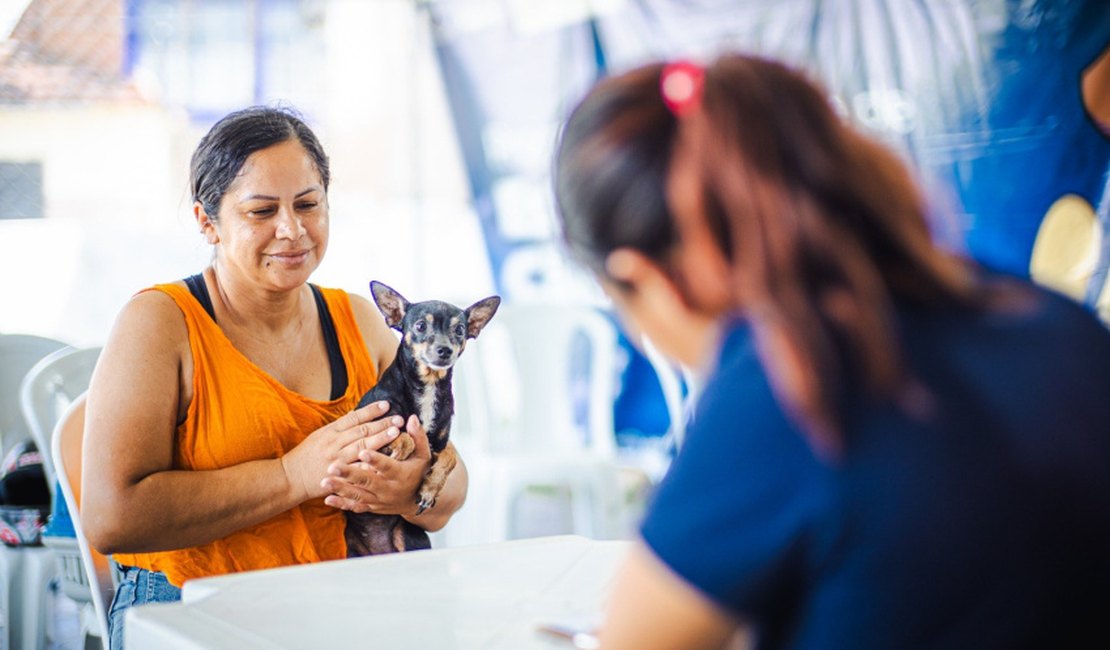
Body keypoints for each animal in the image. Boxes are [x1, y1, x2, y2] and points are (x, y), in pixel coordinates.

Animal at [344, 280, 501, 554]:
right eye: (420, 326)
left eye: (459, 330)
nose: (444, 350)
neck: (427, 385)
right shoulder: (368, 432)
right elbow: (403, 436)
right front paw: (397, 450)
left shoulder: (438, 443)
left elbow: (450, 458)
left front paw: (429, 489)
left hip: (409, 537)